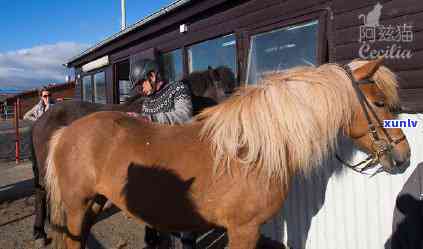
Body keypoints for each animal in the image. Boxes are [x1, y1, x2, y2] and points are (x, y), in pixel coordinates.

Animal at [44, 58, 410, 249]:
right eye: (379, 103)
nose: (404, 156)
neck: (253, 151)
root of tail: (65, 133)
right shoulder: (243, 229)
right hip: (77, 206)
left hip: (92, 203)